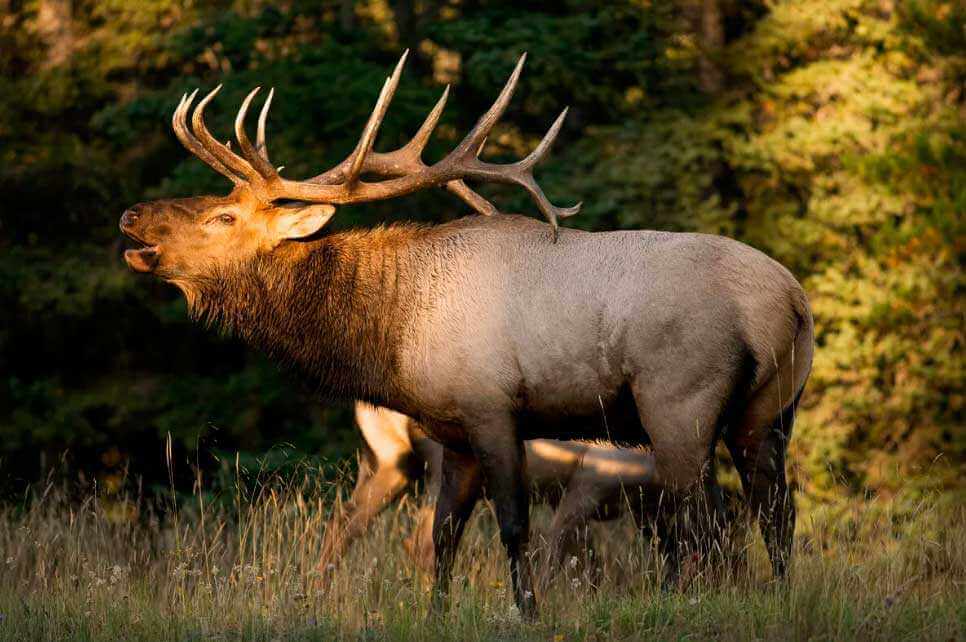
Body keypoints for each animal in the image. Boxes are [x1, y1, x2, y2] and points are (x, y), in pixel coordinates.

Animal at [121, 53, 816, 616]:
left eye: (223, 215)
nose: (131, 214)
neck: (393, 330)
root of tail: (789, 298)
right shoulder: (450, 432)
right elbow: (443, 537)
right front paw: (437, 614)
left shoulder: (492, 410)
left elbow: (513, 529)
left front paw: (527, 614)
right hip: (769, 409)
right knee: (775, 513)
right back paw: (780, 600)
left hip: (678, 404)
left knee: (708, 522)